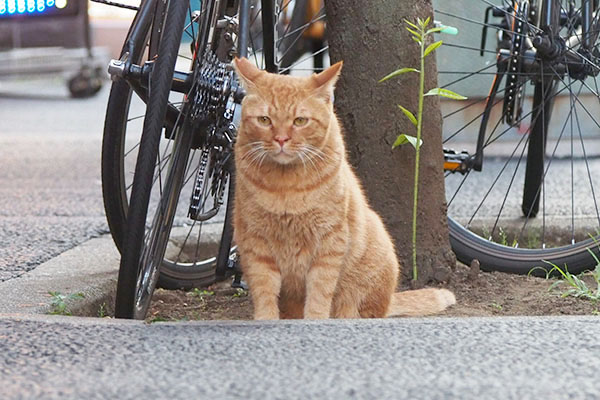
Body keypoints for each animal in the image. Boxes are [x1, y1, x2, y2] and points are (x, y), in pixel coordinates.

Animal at [231, 57, 454, 318]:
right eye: (264, 120)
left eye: (300, 121)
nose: (281, 139)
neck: (286, 187)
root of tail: (390, 300)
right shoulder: (256, 245)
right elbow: (264, 293)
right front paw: (266, 320)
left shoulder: (329, 243)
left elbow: (319, 294)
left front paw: (314, 320)